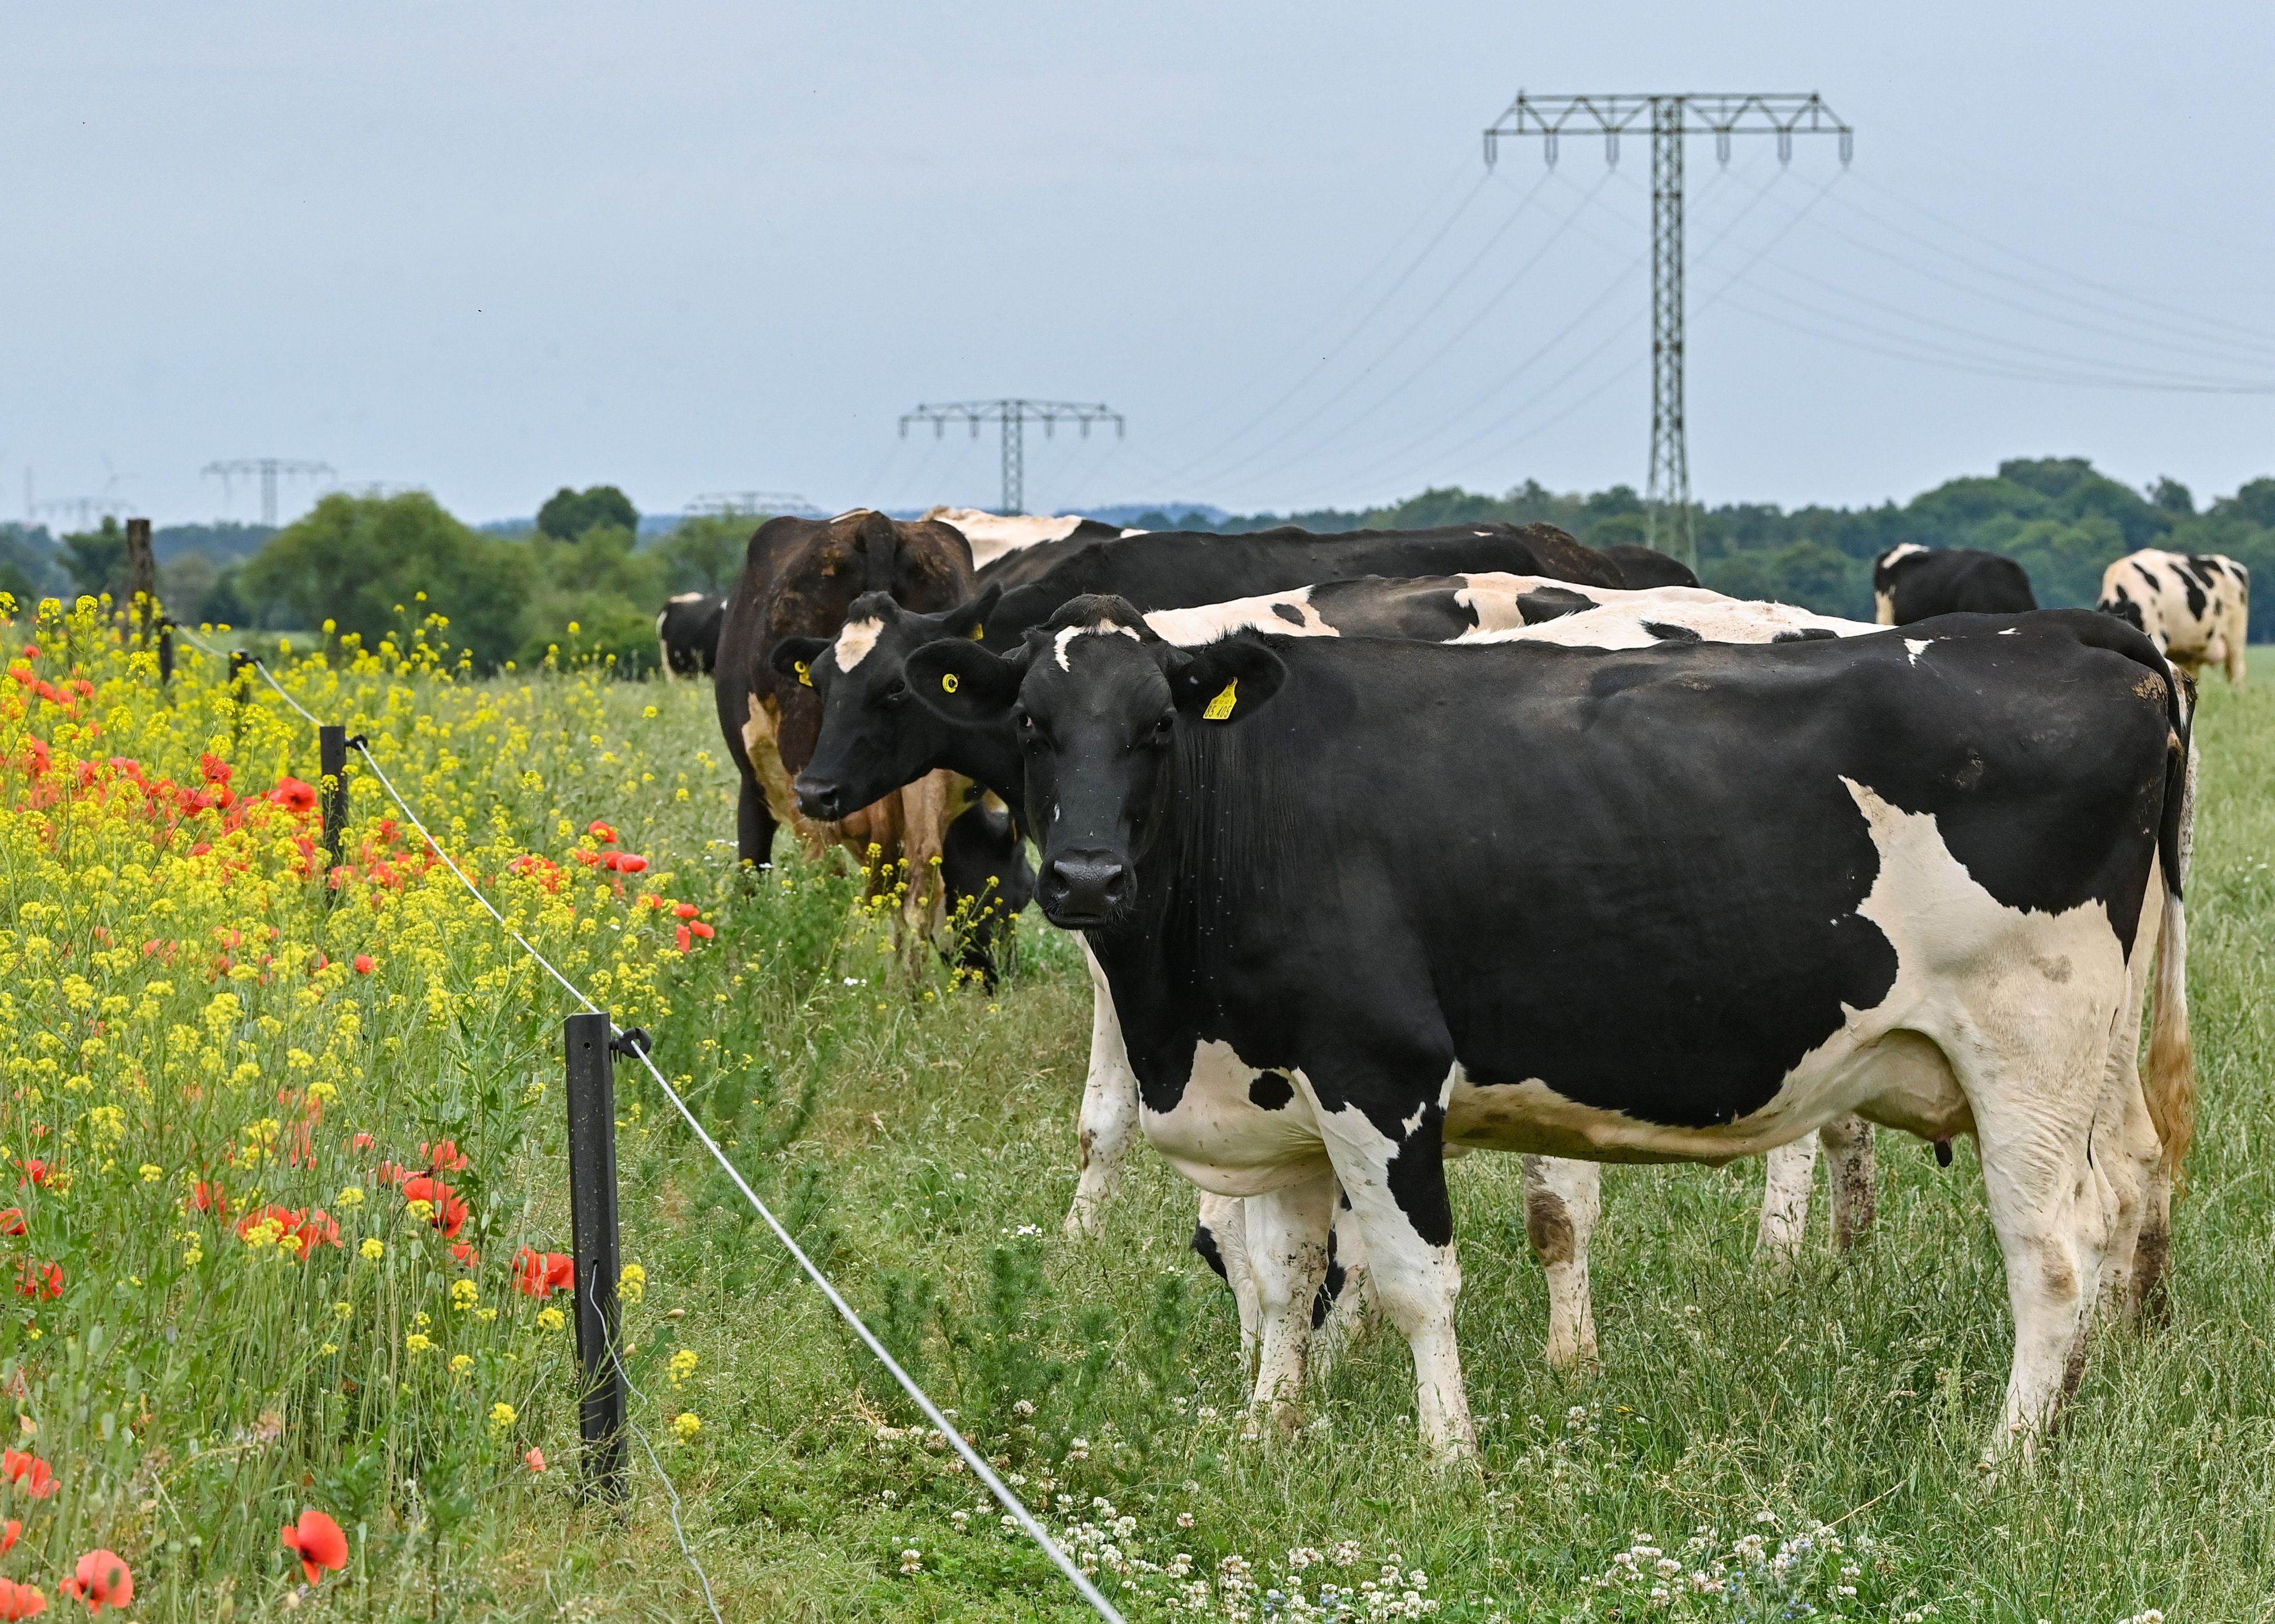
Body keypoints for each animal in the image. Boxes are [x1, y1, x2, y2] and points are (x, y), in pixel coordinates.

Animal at [906, 596, 2193, 1460]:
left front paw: (1448, 1462)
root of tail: (2066, 630)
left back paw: (2007, 1462)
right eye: (1029, 726)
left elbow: (1413, 1279)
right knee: (2128, 1186)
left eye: (1157, 730)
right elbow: (1285, 1276)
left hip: (2027, 1048)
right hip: (2094, 1050)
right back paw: (2098, 1390)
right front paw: (1268, 1435)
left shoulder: (1378, 1073)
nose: (1083, 877)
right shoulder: (1278, 1094)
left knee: (2051, 1250)